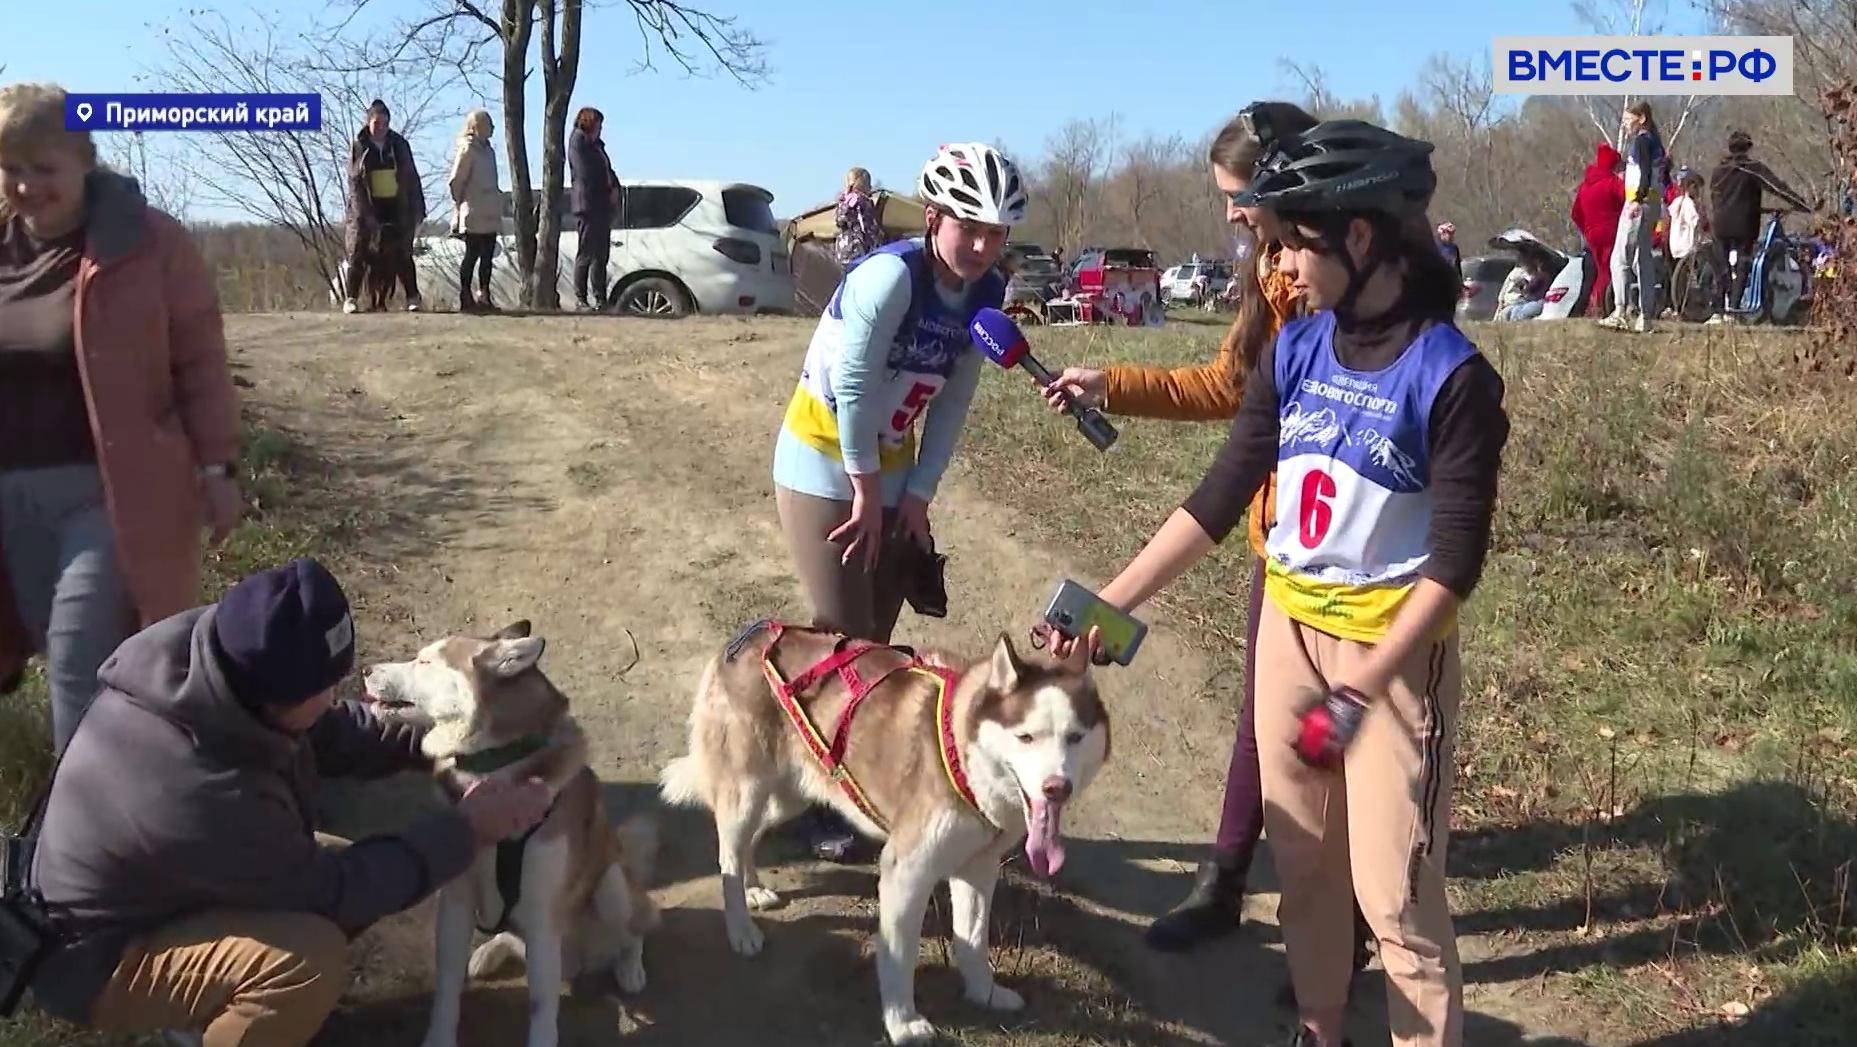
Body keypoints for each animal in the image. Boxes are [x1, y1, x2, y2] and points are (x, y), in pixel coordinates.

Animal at [358, 620, 657, 1047]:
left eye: (425, 661)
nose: (365, 670)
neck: (492, 767)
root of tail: (581, 960)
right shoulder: (456, 902)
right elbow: (447, 989)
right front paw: (439, 1037)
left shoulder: (543, 916)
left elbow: (542, 1011)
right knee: (510, 938)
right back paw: (489, 953)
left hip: (611, 885)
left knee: (635, 931)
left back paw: (630, 966)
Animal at [661, 627, 1106, 1039]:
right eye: (1026, 737)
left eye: (1075, 737)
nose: (1057, 788)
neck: (963, 757)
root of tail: (747, 637)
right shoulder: (906, 870)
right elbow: (898, 957)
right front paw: (903, 1023)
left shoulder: (977, 866)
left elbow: (973, 940)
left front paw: (985, 993)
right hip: (747, 793)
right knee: (728, 855)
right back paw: (741, 927)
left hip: (789, 796)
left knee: (749, 843)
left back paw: (753, 886)